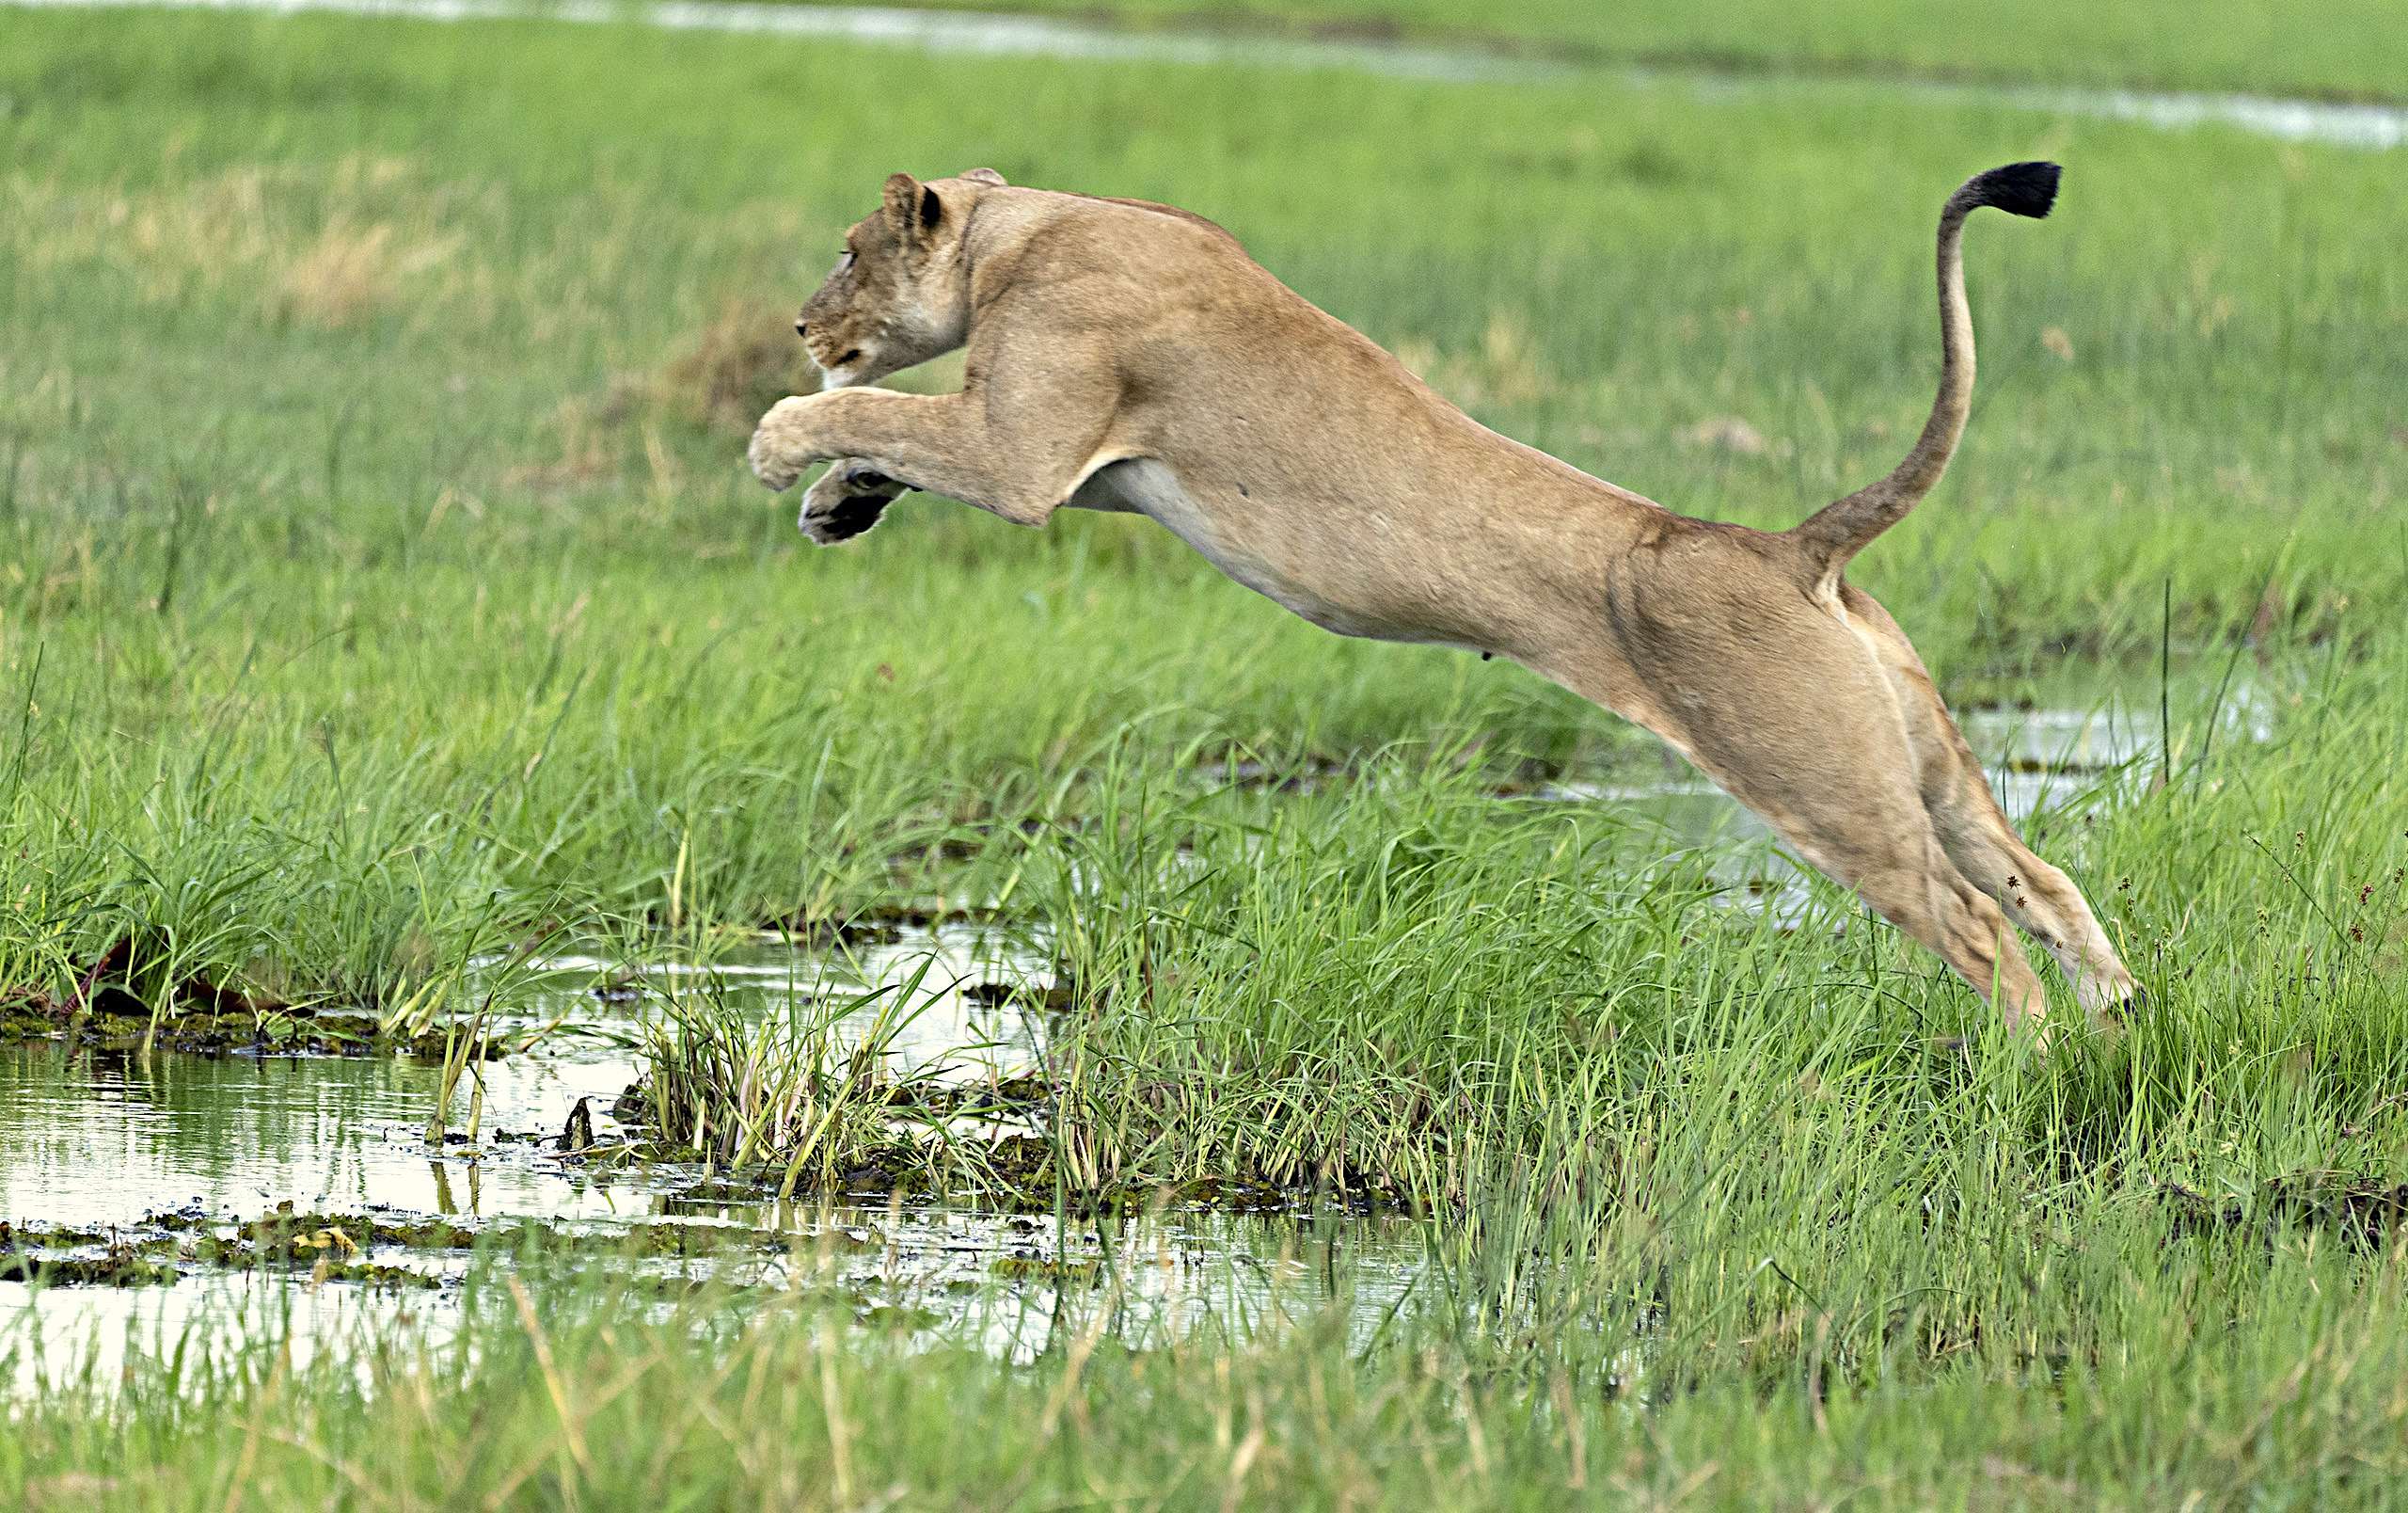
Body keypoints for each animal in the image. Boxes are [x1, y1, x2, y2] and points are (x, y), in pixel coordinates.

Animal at [748, 162, 2139, 1030]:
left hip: (1815, 778)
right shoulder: (1079, 468)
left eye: (847, 252)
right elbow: (894, 432)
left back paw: (2033, 1074)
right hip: (1917, 754)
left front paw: (781, 445)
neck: (1020, 231)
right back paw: (2120, 1037)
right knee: (2043, 881)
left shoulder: (1025, 454)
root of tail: (1788, 546)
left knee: (1977, 927)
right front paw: (839, 501)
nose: (804, 323)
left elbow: (883, 410)